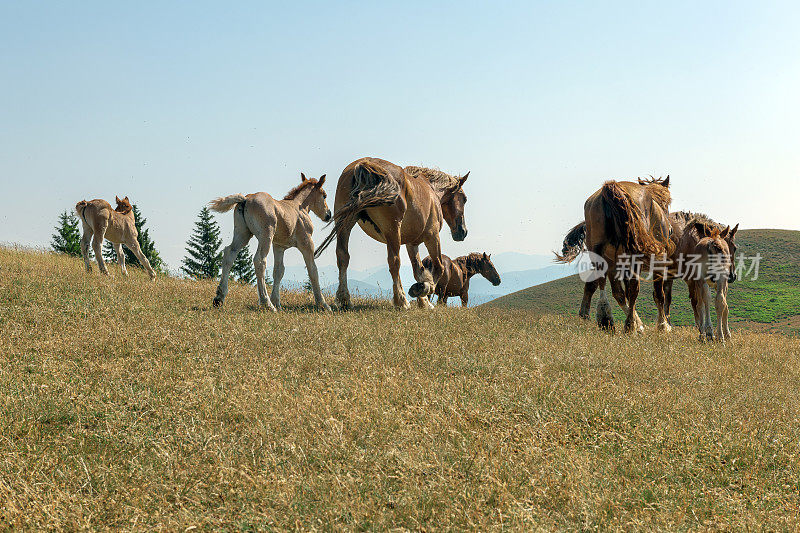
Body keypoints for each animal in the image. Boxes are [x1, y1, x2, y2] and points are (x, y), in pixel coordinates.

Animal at [209, 172, 332, 310]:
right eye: (324, 195)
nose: (328, 215)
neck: (300, 207)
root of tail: (245, 199)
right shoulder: (306, 243)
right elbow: (313, 270)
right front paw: (323, 304)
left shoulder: (278, 246)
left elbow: (278, 271)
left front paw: (277, 303)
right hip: (265, 236)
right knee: (259, 260)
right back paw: (266, 303)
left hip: (242, 234)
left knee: (229, 253)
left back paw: (219, 298)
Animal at [314, 156, 468, 310]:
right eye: (464, 199)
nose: (463, 231)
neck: (431, 191)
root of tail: (364, 165)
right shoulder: (432, 236)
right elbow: (438, 267)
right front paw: (424, 289)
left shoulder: (411, 243)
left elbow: (418, 269)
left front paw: (423, 300)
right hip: (392, 229)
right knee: (394, 262)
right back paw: (401, 301)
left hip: (345, 225)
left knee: (343, 257)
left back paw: (345, 299)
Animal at [556, 175, 676, 332]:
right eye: (668, 203)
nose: (670, 230)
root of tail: (610, 188)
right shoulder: (657, 261)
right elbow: (658, 295)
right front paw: (663, 326)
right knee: (632, 289)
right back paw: (630, 326)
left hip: (603, 255)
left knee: (606, 287)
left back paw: (605, 318)